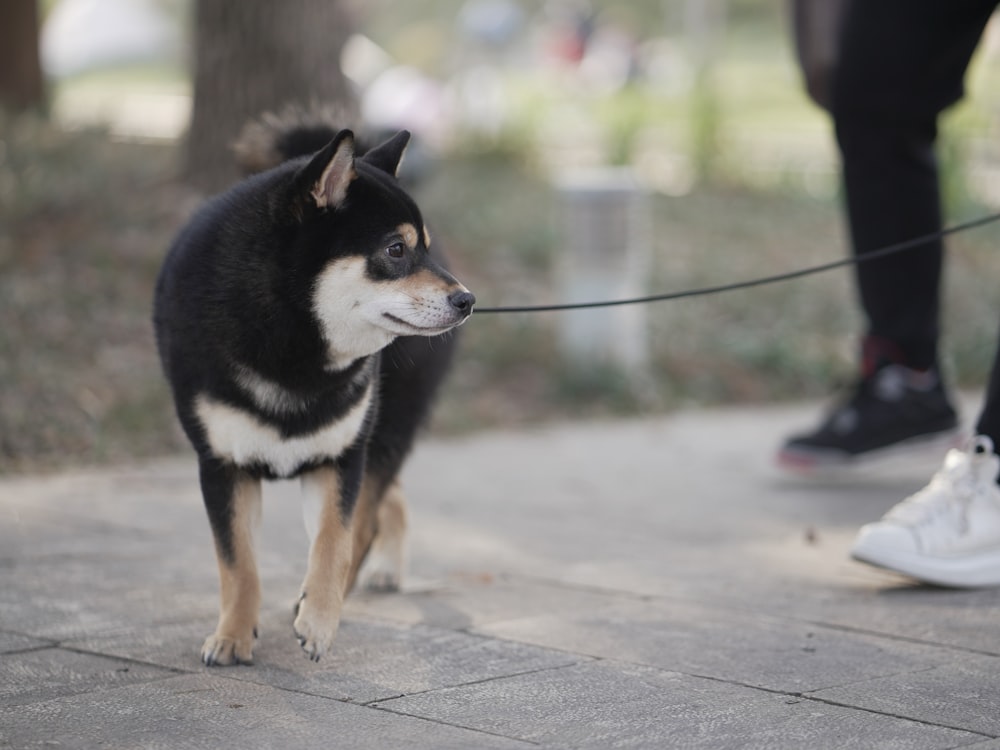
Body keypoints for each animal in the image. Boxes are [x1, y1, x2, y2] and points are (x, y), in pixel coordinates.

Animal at [154, 120, 474, 668]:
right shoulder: (223, 465)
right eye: (397, 249)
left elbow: (335, 544)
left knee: (374, 510)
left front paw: (319, 622)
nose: (467, 299)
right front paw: (233, 636)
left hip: (384, 427)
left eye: (426, 248)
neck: (292, 343)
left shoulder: (339, 457)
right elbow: (238, 563)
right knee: (390, 497)